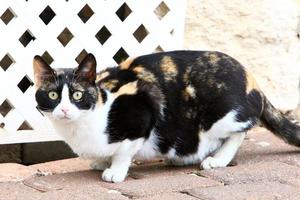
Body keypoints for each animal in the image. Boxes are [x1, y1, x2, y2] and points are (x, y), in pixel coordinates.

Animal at [32, 50, 300, 183]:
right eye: (53, 95)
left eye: (77, 95)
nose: (64, 110)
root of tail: (251, 79)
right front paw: (102, 161)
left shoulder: (143, 107)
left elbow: (124, 151)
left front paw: (115, 170)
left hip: (220, 113)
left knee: (241, 131)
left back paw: (217, 159)